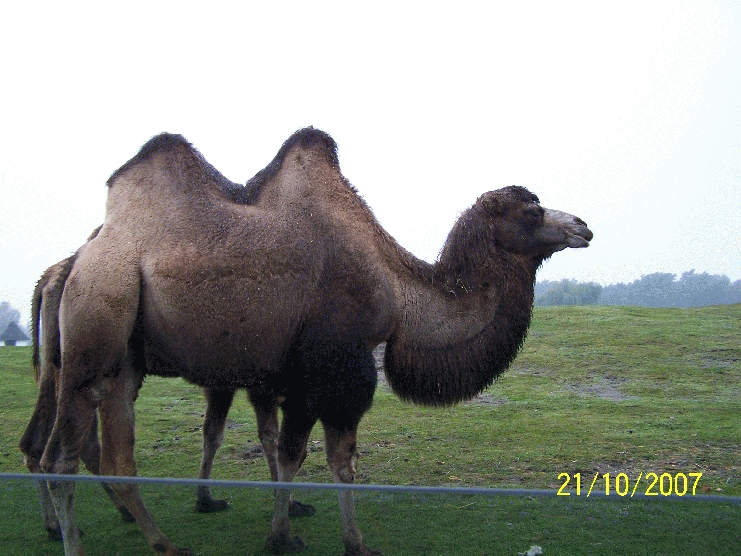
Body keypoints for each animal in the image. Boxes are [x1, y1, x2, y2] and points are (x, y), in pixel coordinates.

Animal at [40, 127, 592, 556]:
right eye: (533, 210)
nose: (583, 226)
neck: (398, 293)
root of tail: (78, 259)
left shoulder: (301, 378)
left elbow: (292, 454)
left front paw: (284, 530)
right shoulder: (337, 370)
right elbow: (334, 461)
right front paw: (346, 541)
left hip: (124, 360)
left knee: (116, 457)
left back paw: (164, 542)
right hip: (97, 318)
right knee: (63, 458)